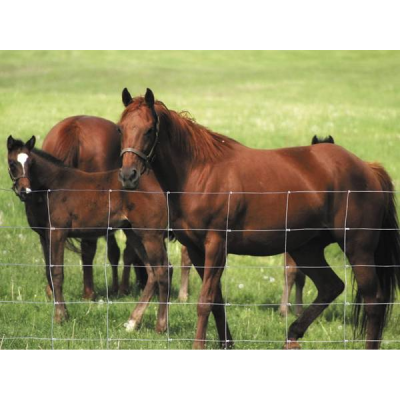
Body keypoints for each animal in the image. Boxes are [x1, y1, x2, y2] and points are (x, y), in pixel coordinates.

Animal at [117, 88, 400, 350]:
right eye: (121, 129)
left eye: (149, 130)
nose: (128, 175)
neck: (199, 173)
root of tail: (367, 168)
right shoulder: (197, 250)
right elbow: (216, 300)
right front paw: (226, 343)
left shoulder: (216, 245)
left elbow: (205, 301)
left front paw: (199, 345)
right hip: (306, 249)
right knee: (331, 286)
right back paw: (293, 334)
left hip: (357, 248)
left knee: (373, 300)